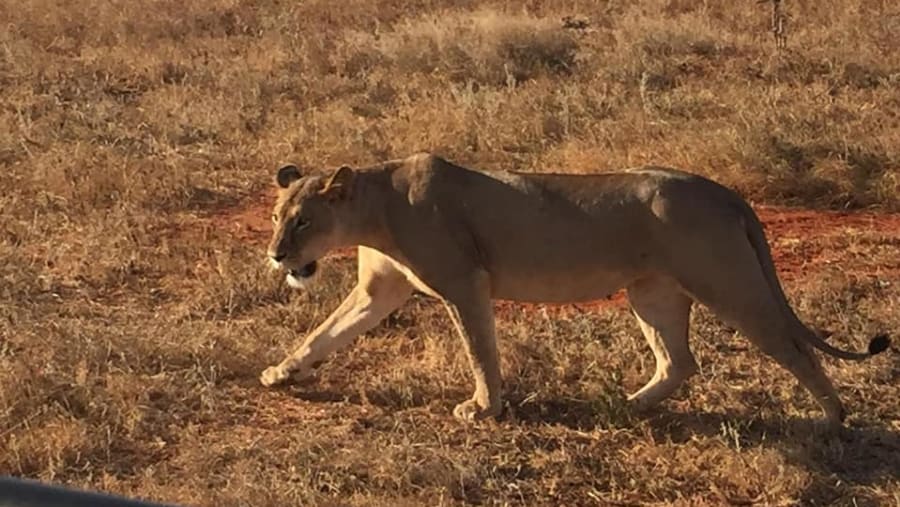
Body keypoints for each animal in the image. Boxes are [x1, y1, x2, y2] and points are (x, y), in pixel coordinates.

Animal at [260, 153, 890, 426]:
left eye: (304, 222)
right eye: (276, 217)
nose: (276, 254)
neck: (374, 208)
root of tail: (723, 191)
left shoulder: (465, 282)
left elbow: (480, 350)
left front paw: (483, 408)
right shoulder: (379, 291)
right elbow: (322, 335)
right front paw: (280, 374)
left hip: (728, 283)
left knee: (794, 347)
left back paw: (833, 419)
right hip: (651, 293)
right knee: (679, 361)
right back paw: (626, 406)